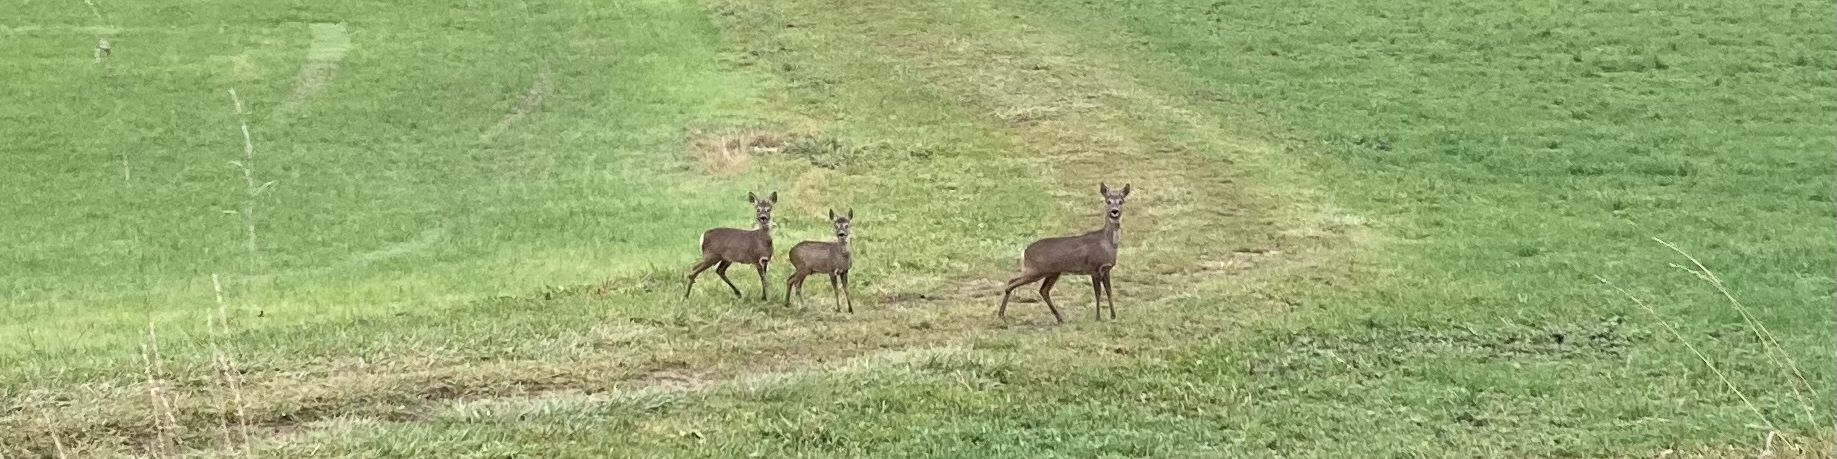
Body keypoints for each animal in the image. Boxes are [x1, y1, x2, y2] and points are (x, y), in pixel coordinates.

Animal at [999, 181, 1124, 323]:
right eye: (1108, 201)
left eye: (1121, 201)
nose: (1114, 211)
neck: (1107, 243)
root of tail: (1024, 252)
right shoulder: (1094, 268)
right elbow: (1098, 293)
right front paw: (1098, 317)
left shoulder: (1106, 269)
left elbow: (1109, 291)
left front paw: (1113, 316)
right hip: (1035, 270)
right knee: (1011, 282)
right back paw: (1001, 315)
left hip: (1052, 272)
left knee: (1043, 290)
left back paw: (1060, 318)